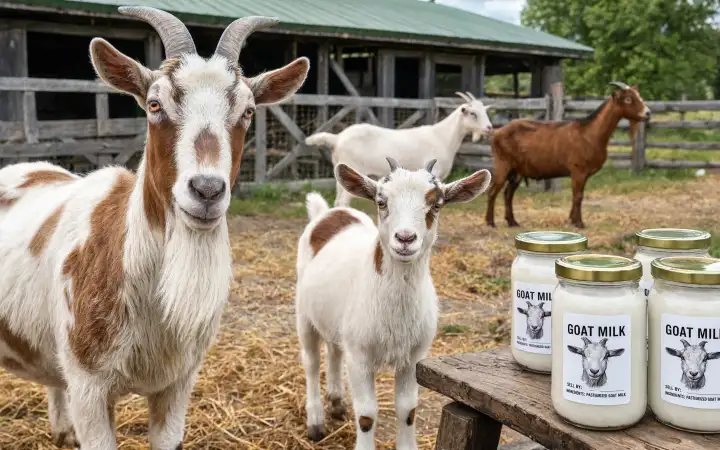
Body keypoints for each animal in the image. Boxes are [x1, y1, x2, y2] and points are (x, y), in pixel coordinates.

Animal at [295, 158, 491, 449]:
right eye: (381, 202)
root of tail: (329, 213)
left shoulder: (414, 358)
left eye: (437, 205)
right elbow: (366, 414)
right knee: (311, 361)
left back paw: (337, 402)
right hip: (303, 313)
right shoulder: (360, 356)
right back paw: (316, 421)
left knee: (334, 350)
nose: (405, 238)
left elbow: (408, 410)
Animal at [305, 91, 494, 208]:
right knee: (343, 201)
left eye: (484, 112)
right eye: (473, 113)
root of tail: (337, 138)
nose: (489, 128)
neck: (442, 136)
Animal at [486, 81, 651, 228]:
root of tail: (497, 133)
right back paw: (491, 223)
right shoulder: (578, 170)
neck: (590, 133)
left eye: (639, 96)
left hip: (517, 171)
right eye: (628, 99)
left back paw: (512, 222)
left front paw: (571, 220)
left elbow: (578, 195)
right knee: (493, 191)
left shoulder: (583, 173)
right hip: (502, 163)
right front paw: (579, 223)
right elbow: (578, 196)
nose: (648, 113)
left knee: (508, 193)